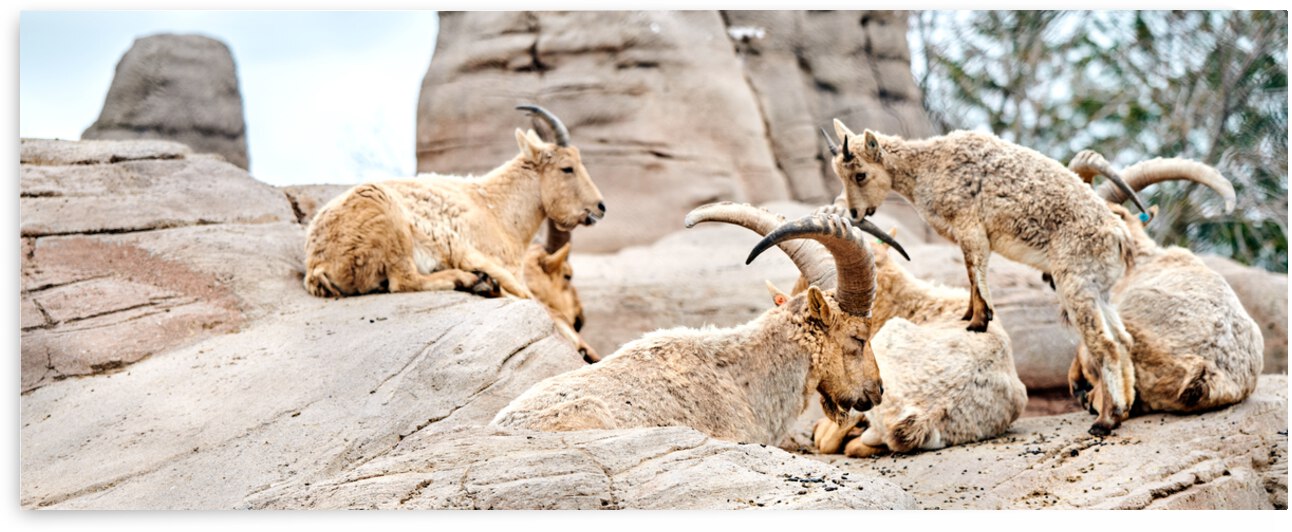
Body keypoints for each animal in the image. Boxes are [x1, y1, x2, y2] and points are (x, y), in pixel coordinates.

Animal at [303, 105, 606, 303]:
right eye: (567, 168)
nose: (600, 207)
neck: (498, 210)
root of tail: (317, 266)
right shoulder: (483, 256)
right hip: (390, 222)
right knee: (405, 281)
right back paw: (475, 281)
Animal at [823, 120, 1141, 435]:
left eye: (860, 174)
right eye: (840, 174)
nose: (855, 212)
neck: (929, 165)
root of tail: (1120, 238)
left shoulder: (970, 226)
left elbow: (974, 270)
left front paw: (978, 322)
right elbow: (970, 274)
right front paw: (967, 316)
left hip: (1075, 285)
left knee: (1106, 344)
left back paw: (1104, 421)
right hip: (1100, 292)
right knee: (1123, 340)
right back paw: (1121, 411)